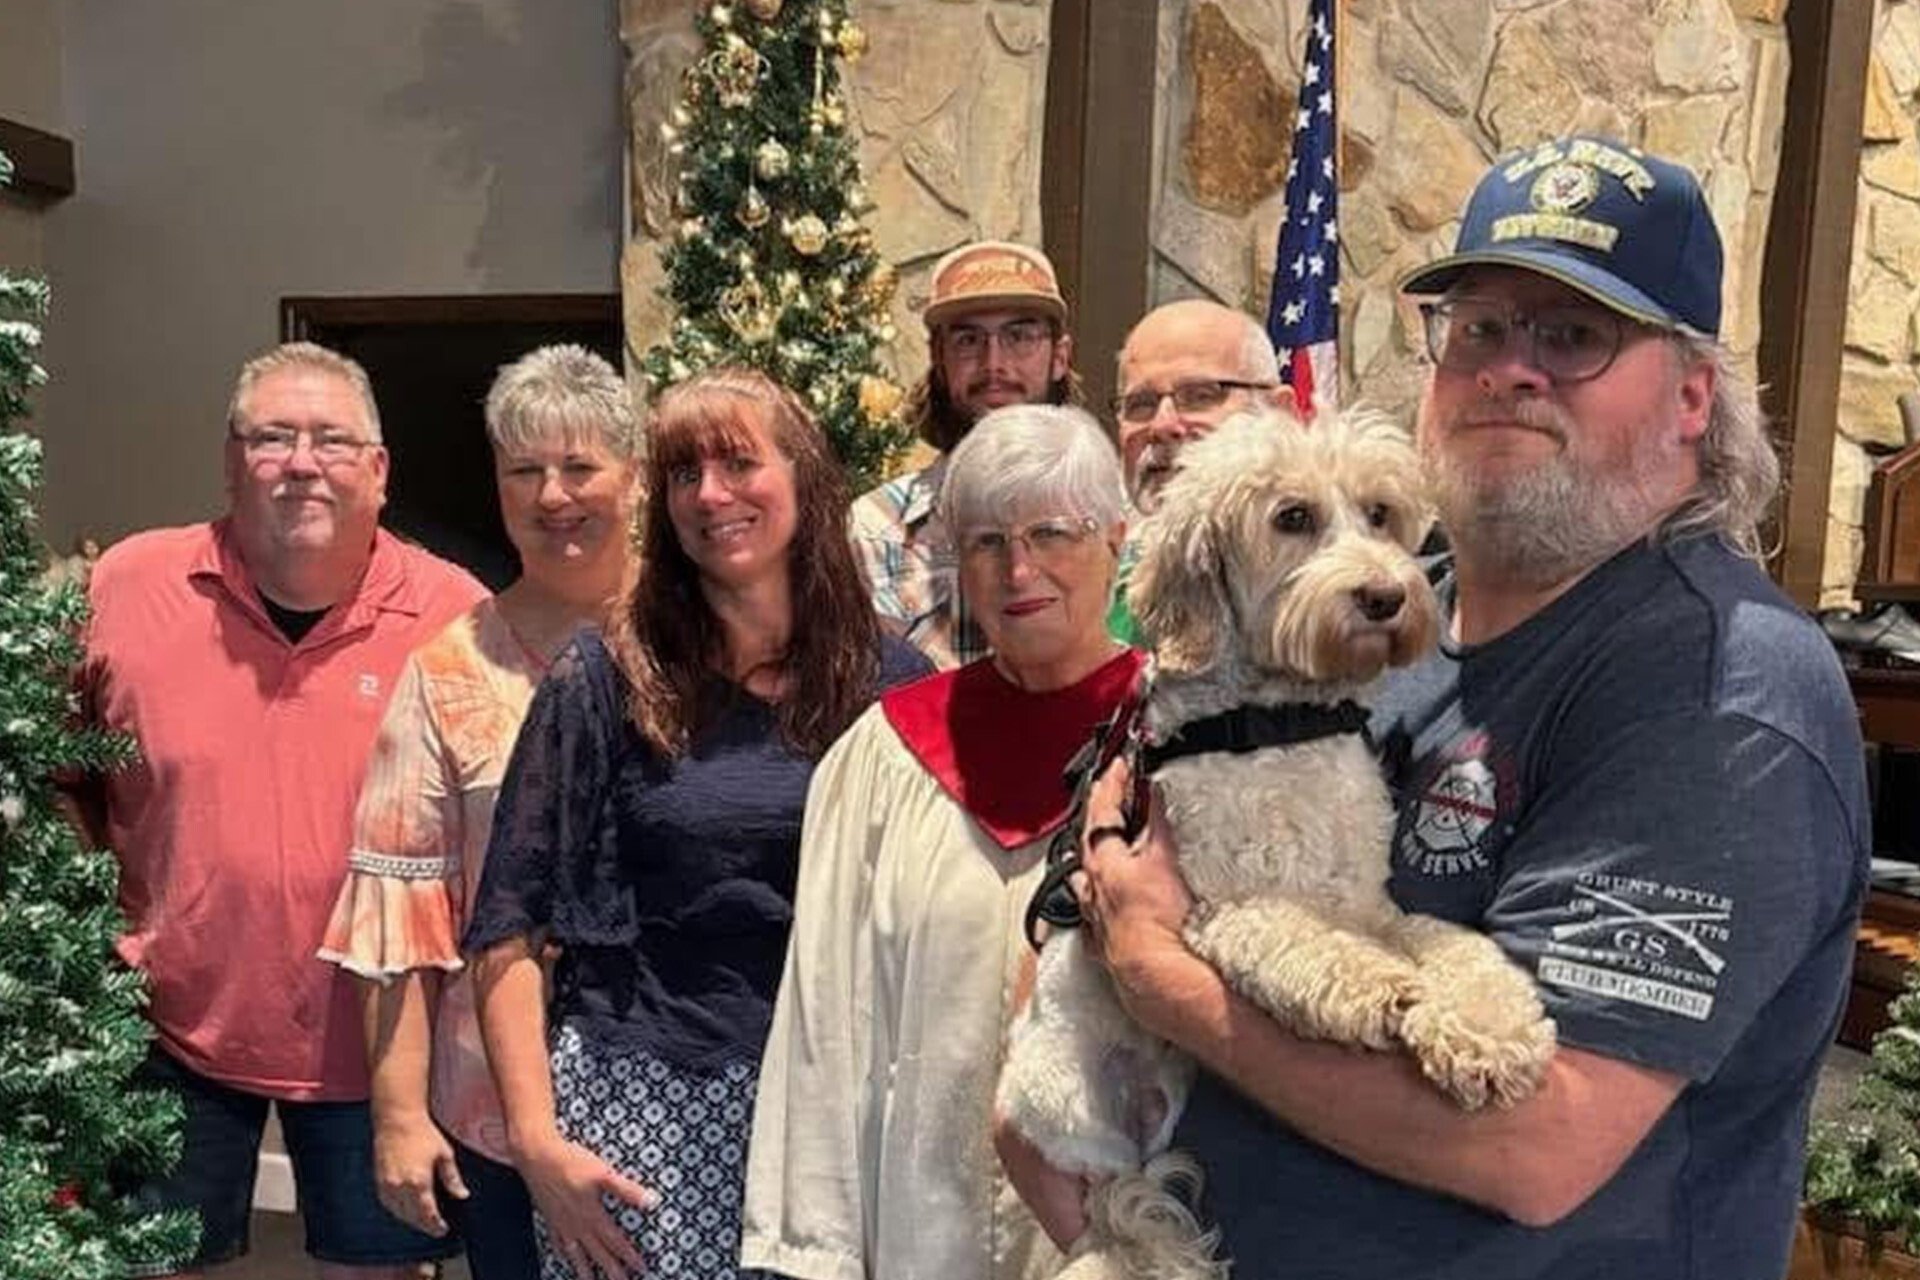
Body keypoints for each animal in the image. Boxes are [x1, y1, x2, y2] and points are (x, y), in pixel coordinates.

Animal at [1006, 408, 1559, 1280]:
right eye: (1292, 517)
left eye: (1379, 513)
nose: (1386, 596)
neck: (1281, 722)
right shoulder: (1221, 907)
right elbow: (1300, 940)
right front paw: (1378, 988)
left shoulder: (1367, 902)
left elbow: (1454, 948)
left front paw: (1488, 1032)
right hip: (1064, 1101)